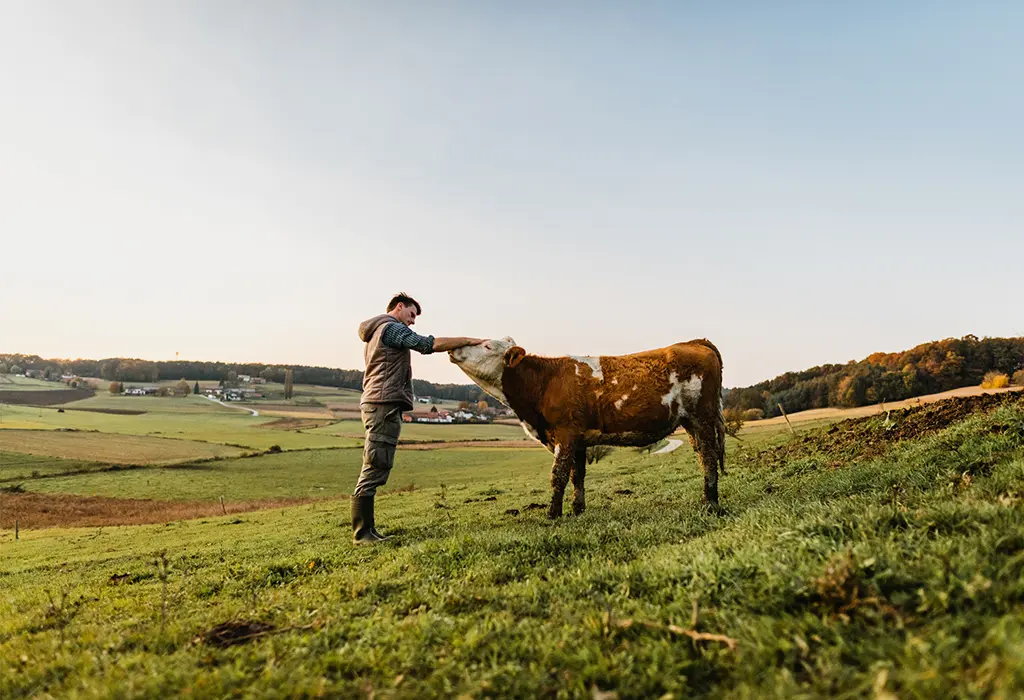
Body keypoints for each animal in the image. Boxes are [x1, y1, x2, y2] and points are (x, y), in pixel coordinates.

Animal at [448, 338, 725, 519]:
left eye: (486, 346)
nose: (454, 348)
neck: (544, 381)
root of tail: (694, 342)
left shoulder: (565, 433)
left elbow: (558, 475)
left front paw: (553, 514)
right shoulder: (578, 440)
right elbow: (577, 475)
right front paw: (577, 509)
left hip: (702, 417)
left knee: (709, 457)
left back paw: (711, 503)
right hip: (690, 422)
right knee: (702, 456)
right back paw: (706, 498)